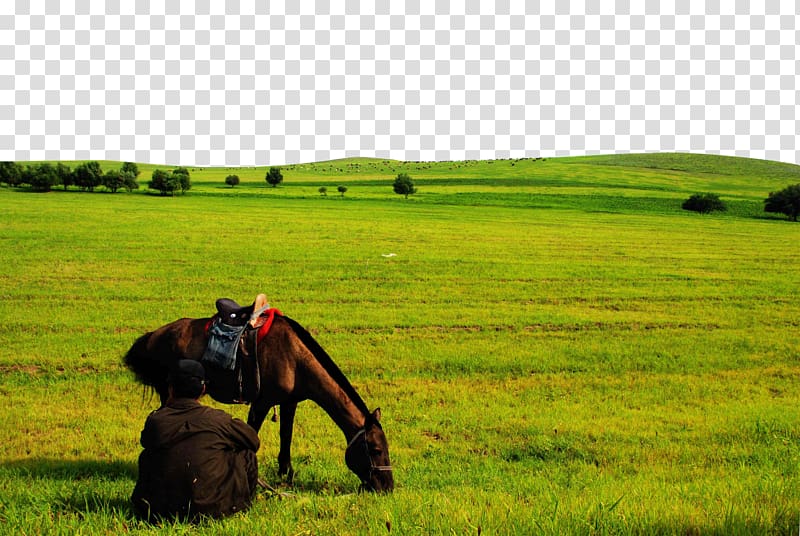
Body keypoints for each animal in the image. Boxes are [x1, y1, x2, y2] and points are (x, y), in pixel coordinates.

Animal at [123, 314, 396, 494]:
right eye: (376, 450)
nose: (388, 486)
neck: (295, 357)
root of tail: (153, 337)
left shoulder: (289, 402)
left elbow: (286, 435)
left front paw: (286, 473)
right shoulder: (262, 403)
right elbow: (252, 434)